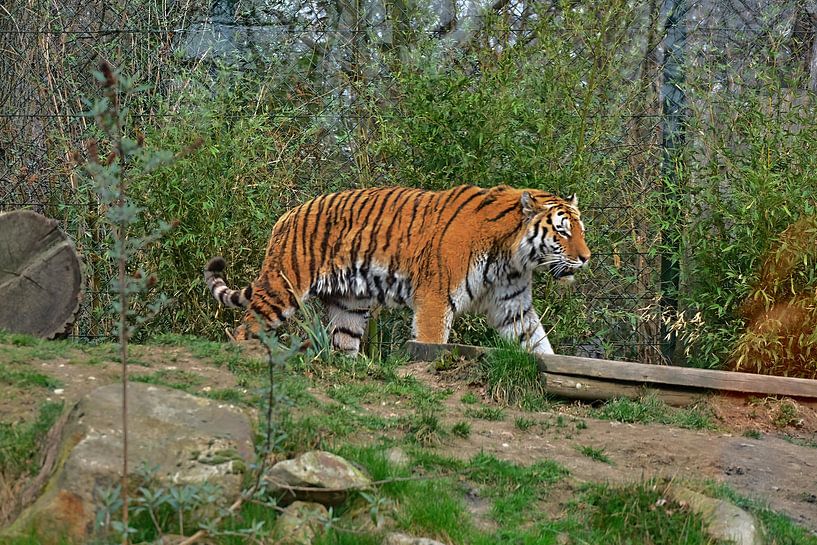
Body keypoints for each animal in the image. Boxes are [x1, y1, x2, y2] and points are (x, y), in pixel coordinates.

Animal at [204, 184, 590, 356]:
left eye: (580, 229)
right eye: (562, 231)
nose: (586, 257)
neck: (511, 257)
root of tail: (287, 216)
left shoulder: (513, 306)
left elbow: (537, 344)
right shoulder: (436, 299)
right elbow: (432, 343)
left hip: (349, 304)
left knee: (342, 343)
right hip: (282, 289)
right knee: (245, 329)